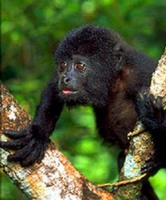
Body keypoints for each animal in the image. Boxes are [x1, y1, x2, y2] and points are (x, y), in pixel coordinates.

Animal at [0, 25, 165, 198]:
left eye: (80, 66)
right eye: (63, 65)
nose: (65, 78)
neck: (113, 80)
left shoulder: (142, 72)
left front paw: (156, 117)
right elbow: (54, 88)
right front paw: (38, 134)